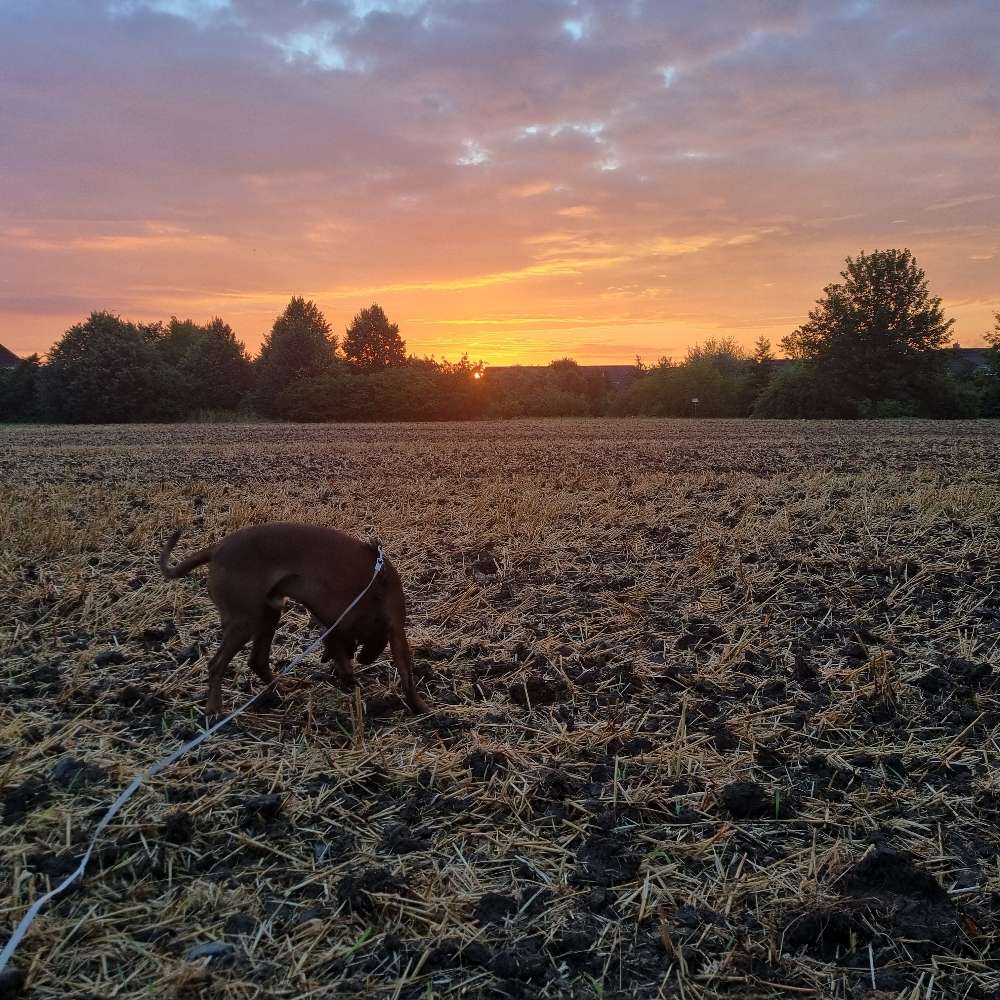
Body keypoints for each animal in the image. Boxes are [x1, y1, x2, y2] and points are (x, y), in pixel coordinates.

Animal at [158, 520, 428, 716]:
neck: (376, 584)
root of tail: (217, 548)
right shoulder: (394, 628)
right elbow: (407, 674)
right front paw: (421, 707)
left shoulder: (331, 622)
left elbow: (340, 650)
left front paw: (347, 676)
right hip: (246, 620)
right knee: (216, 665)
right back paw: (214, 709)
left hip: (268, 613)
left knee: (257, 661)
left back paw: (284, 687)